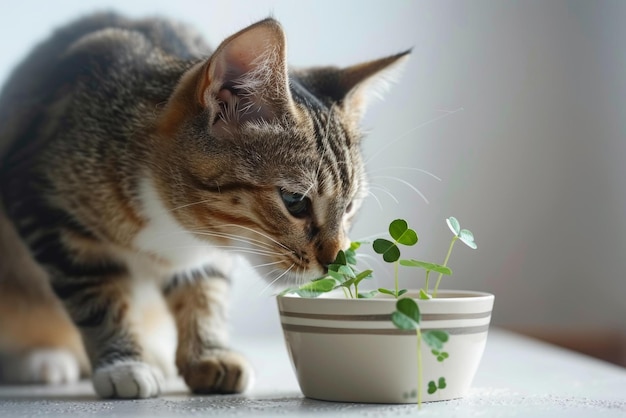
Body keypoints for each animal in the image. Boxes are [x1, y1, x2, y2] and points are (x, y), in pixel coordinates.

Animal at [0, 13, 408, 398]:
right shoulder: (42, 201)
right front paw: (124, 364)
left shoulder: (210, 253)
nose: (335, 260)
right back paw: (41, 360)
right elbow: (96, 291)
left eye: (350, 207)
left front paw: (207, 353)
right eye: (295, 201)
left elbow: (204, 288)